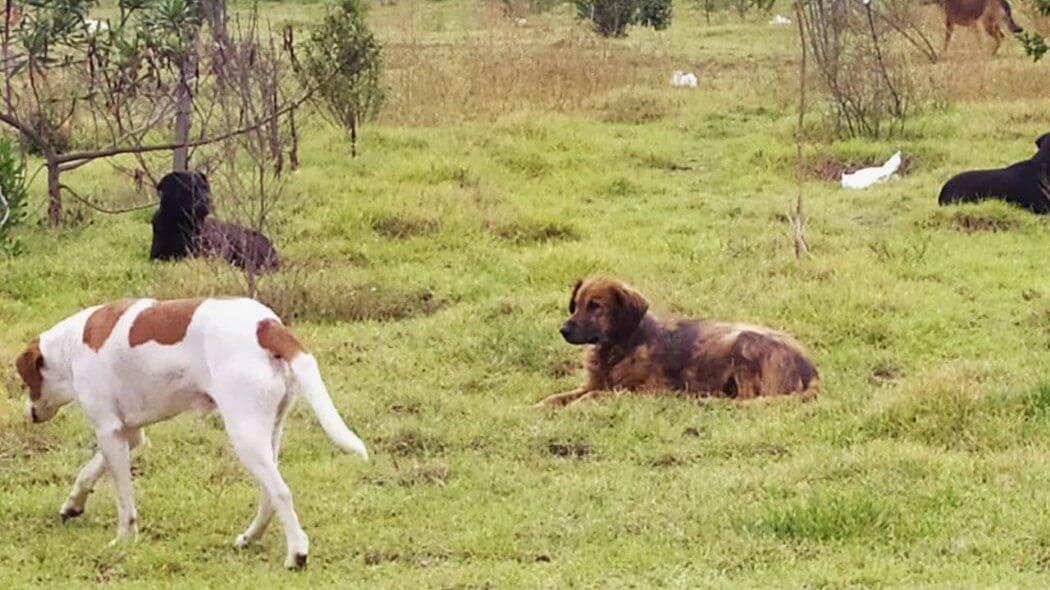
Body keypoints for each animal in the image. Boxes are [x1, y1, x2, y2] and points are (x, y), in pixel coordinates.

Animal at [12, 296, 369, 566]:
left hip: (244, 434)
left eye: (26, 382)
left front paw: (125, 539)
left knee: (281, 492)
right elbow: (87, 473)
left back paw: (297, 554)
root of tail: (266, 326)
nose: (27, 414)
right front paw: (73, 505)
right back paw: (250, 537)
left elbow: (124, 502)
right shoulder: (128, 433)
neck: (71, 346)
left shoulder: (109, 431)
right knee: (270, 495)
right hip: (269, 432)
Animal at [533, 275, 818, 403]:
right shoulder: (593, 384)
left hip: (744, 344)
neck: (619, 348)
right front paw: (538, 408)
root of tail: (812, 371)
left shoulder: (646, 391)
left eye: (595, 306)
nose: (564, 330)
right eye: (576, 304)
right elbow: (556, 398)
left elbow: (593, 396)